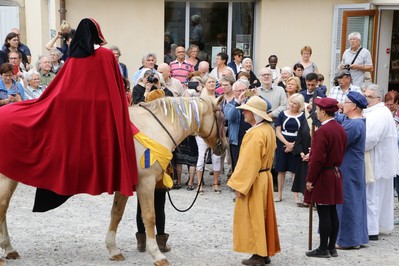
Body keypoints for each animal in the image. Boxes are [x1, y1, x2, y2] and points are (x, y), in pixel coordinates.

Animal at [0, 96, 228, 266]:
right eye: (223, 120)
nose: (223, 147)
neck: (152, 128)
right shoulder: (146, 184)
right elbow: (150, 217)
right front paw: (157, 254)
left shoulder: (125, 186)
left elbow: (116, 214)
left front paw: (113, 250)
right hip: (5, 179)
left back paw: (9, 249)